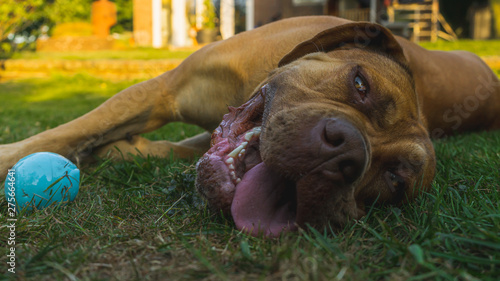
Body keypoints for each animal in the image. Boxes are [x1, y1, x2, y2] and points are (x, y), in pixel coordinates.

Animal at [0, 17, 500, 236]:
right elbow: (72, 129)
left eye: (395, 181)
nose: (347, 153)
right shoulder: (163, 91)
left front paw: (116, 150)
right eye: (360, 84)